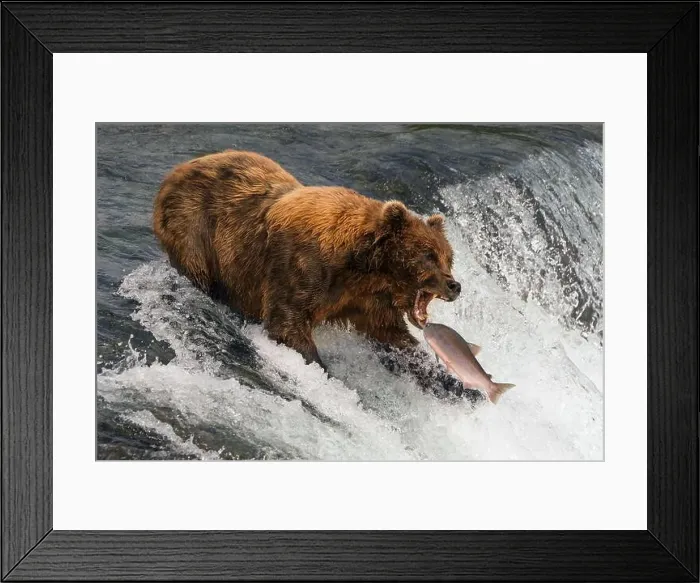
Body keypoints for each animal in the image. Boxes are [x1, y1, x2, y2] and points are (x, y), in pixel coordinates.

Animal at [153, 150, 463, 390]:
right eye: (428, 255)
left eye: (448, 258)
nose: (455, 285)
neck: (362, 266)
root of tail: (175, 171)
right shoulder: (302, 267)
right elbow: (287, 322)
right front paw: (321, 369)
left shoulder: (365, 299)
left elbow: (393, 335)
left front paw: (452, 381)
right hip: (195, 229)